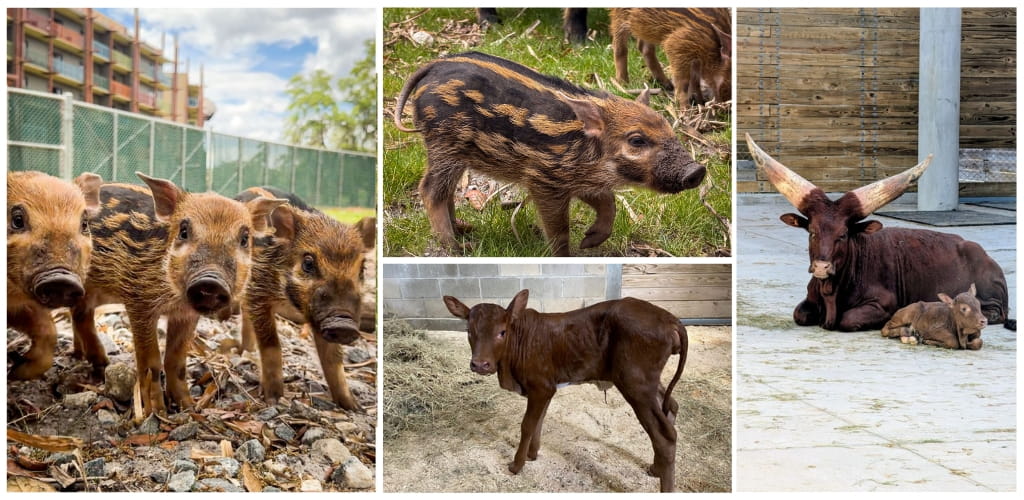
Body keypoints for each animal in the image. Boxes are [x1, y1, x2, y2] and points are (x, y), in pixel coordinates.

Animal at [70, 174, 286, 415]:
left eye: (245, 238)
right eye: (184, 231)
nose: (211, 280)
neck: (174, 300)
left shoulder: (186, 315)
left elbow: (176, 361)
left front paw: (189, 408)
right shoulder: (139, 301)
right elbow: (151, 362)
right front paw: (156, 412)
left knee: (79, 315)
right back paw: (102, 364)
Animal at [235, 186, 376, 411]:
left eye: (362, 269)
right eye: (308, 263)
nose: (343, 323)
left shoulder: (320, 318)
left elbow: (333, 358)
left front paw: (354, 407)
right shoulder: (258, 293)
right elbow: (271, 344)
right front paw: (274, 400)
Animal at [393, 51, 707, 256]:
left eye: (667, 127)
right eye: (637, 140)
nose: (697, 171)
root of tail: (430, 69)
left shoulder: (581, 180)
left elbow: (608, 203)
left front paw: (589, 242)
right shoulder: (544, 180)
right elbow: (559, 229)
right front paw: (568, 254)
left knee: (444, 191)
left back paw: (464, 230)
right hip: (444, 144)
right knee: (430, 189)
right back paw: (456, 247)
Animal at [443, 290, 687, 492]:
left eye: (502, 332)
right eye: (468, 331)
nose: (480, 364)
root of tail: (670, 318)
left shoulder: (541, 386)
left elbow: (527, 425)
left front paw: (517, 464)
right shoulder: (547, 388)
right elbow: (539, 421)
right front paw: (532, 454)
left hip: (635, 383)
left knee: (665, 436)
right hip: (647, 383)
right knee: (671, 407)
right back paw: (655, 469)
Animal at [745, 133, 1012, 332]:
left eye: (843, 234)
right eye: (811, 232)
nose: (821, 267)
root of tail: (984, 254)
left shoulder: (883, 304)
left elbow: (847, 319)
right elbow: (799, 313)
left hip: (989, 298)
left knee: (994, 312)